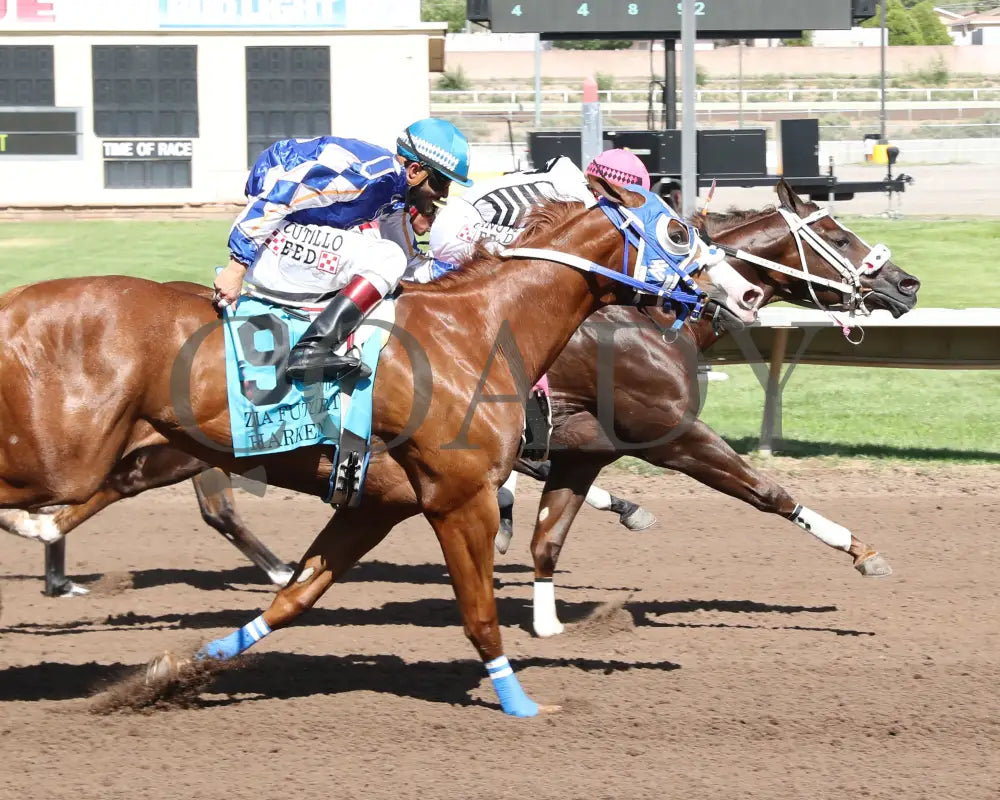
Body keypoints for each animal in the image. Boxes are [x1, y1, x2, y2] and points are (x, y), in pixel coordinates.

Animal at [0, 180, 752, 720]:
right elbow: (480, 615)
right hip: (66, 455)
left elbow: (293, 600)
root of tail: (14, 303)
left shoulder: (375, 505)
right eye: (678, 230)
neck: (476, 328)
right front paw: (520, 703)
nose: (744, 293)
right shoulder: (461, 499)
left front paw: (179, 670)